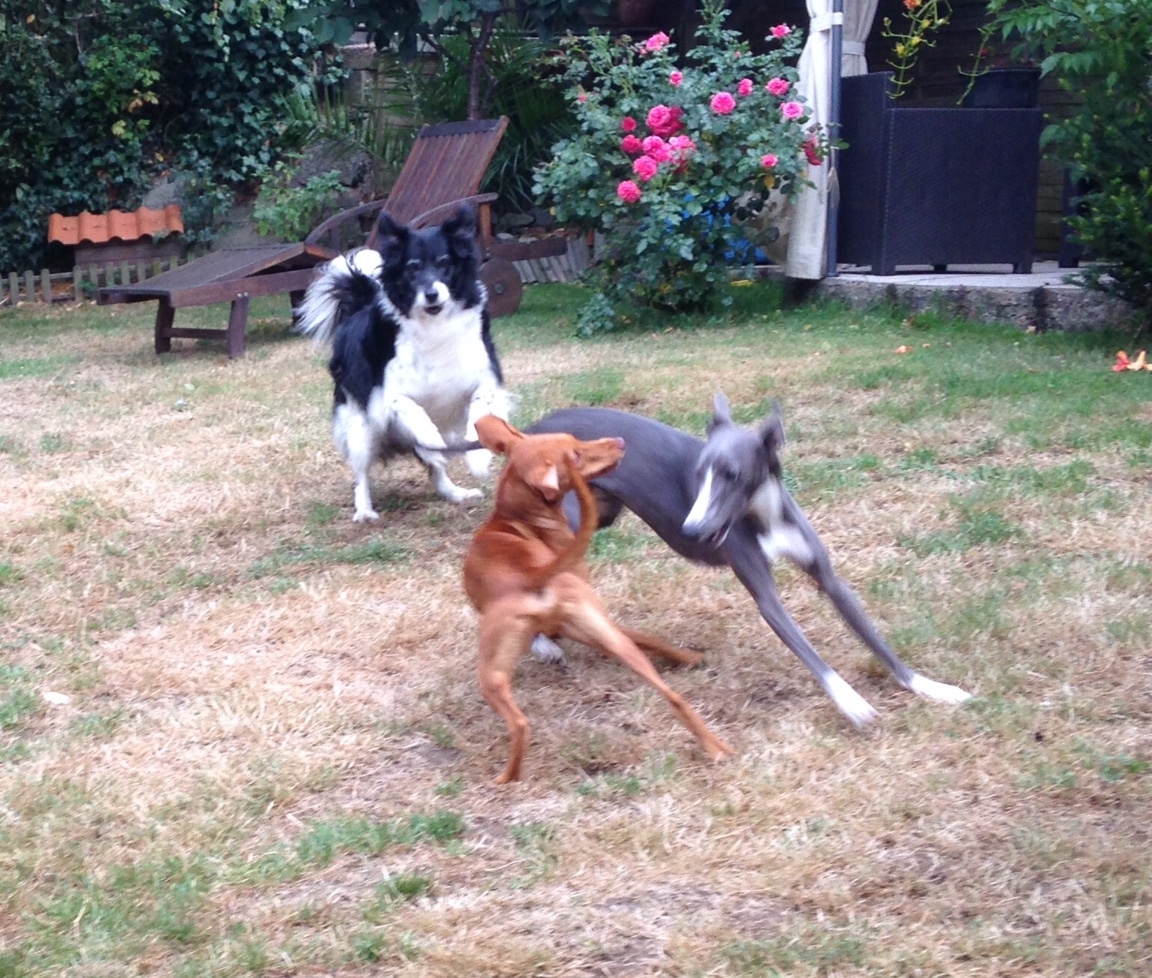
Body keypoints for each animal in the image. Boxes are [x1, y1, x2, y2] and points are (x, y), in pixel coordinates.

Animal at [295, 204, 511, 521]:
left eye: (444, 263)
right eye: (412, 267)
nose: (431, 294)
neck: (433, 324)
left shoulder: (484, 378)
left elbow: (480, 410)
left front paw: (478, 457)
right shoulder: (385, 396)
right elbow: (412, 411)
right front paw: (433, 441)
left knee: (436, 472)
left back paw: (455, 492)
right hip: (358, 428)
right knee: (362, 475)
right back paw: (365, 511)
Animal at [463, 415, 734, 784]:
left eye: (574, 440)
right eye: (575, 454)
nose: (619, 441)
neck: (515, 518)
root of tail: (529, 575)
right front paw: (690, 657)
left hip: (497, 672)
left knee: (519, 724)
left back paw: (506, 779)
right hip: (603, 639)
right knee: (673, 695)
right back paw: (716, 746)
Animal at [528, 394, 972, 728]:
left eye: (732, 474)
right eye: (699, 472)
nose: (692, 530)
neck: (764, 515)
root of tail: (533, 427)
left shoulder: (828, 579)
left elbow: (877, 641)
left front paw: (930, 687)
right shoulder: (767, 598)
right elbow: (811, 654)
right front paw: (851, 702)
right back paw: (544, 644)